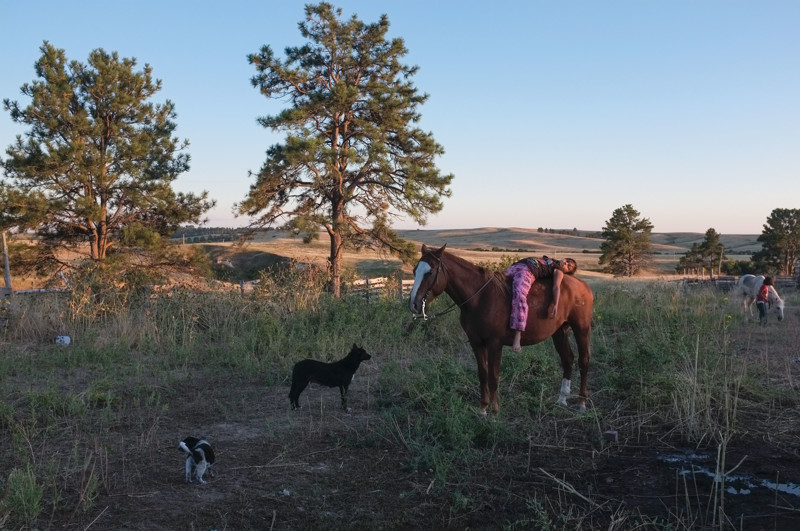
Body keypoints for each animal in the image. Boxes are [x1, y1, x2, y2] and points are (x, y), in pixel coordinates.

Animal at [410, 245, 592, 416]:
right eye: (414, 271)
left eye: (430, 272)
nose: (414, 304)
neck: (480, 298)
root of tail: (582, 285)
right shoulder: (476, 343)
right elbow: (483, 374)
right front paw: (483, 409)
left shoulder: (494, 344)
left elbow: (493, 376)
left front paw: (495, 411)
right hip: (559, 332)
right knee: (567, 359)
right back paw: (562, 399)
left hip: (581, 329)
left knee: (583, 361)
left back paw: (582, 403)